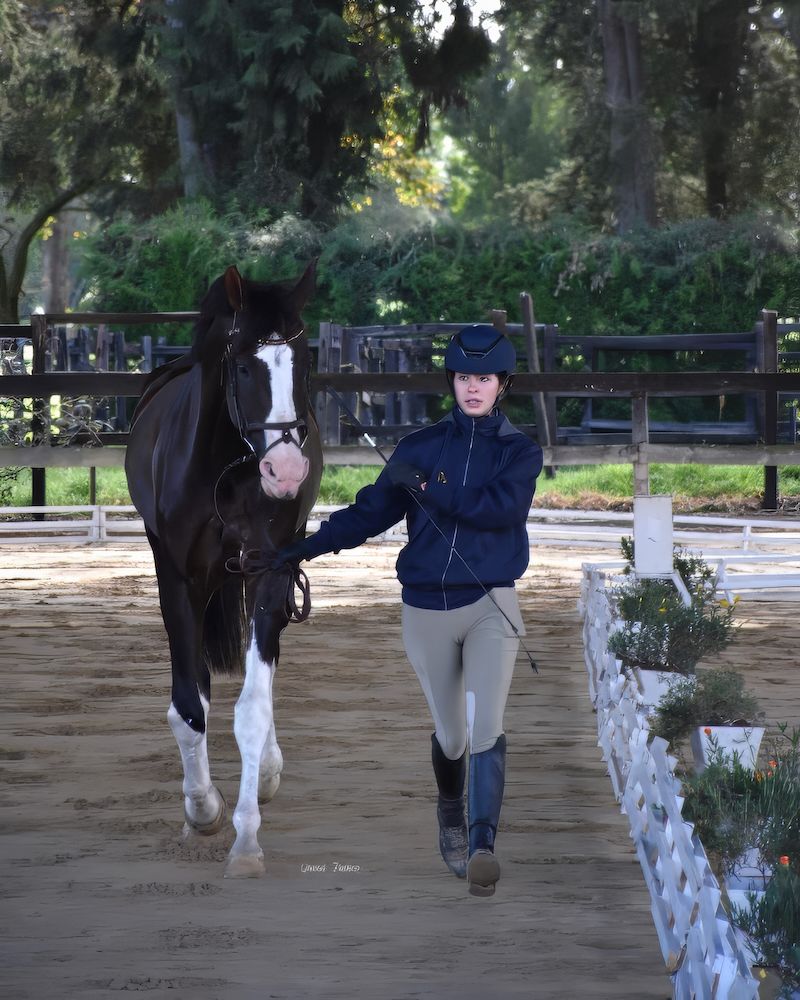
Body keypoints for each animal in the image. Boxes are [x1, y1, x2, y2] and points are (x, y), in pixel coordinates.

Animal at [125, 262, 322, 877]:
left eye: (304, 361)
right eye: (242, 365)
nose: (286, 471)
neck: (223, 466)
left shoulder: (270, 571)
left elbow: (253, 707)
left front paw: (246, 840)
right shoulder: (177, 580)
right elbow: (190, 706)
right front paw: (201, 809)